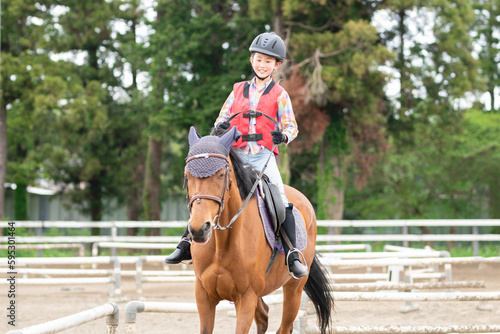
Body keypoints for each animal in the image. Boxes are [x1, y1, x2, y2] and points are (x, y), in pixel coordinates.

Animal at [184, 126, 332, 332]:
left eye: (221, 174)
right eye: (187, 176)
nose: (199, 229)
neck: (222, 245)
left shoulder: (246, 297)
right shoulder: (204, 296)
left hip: (294, 289)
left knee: (284, 326)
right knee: (264, 316)